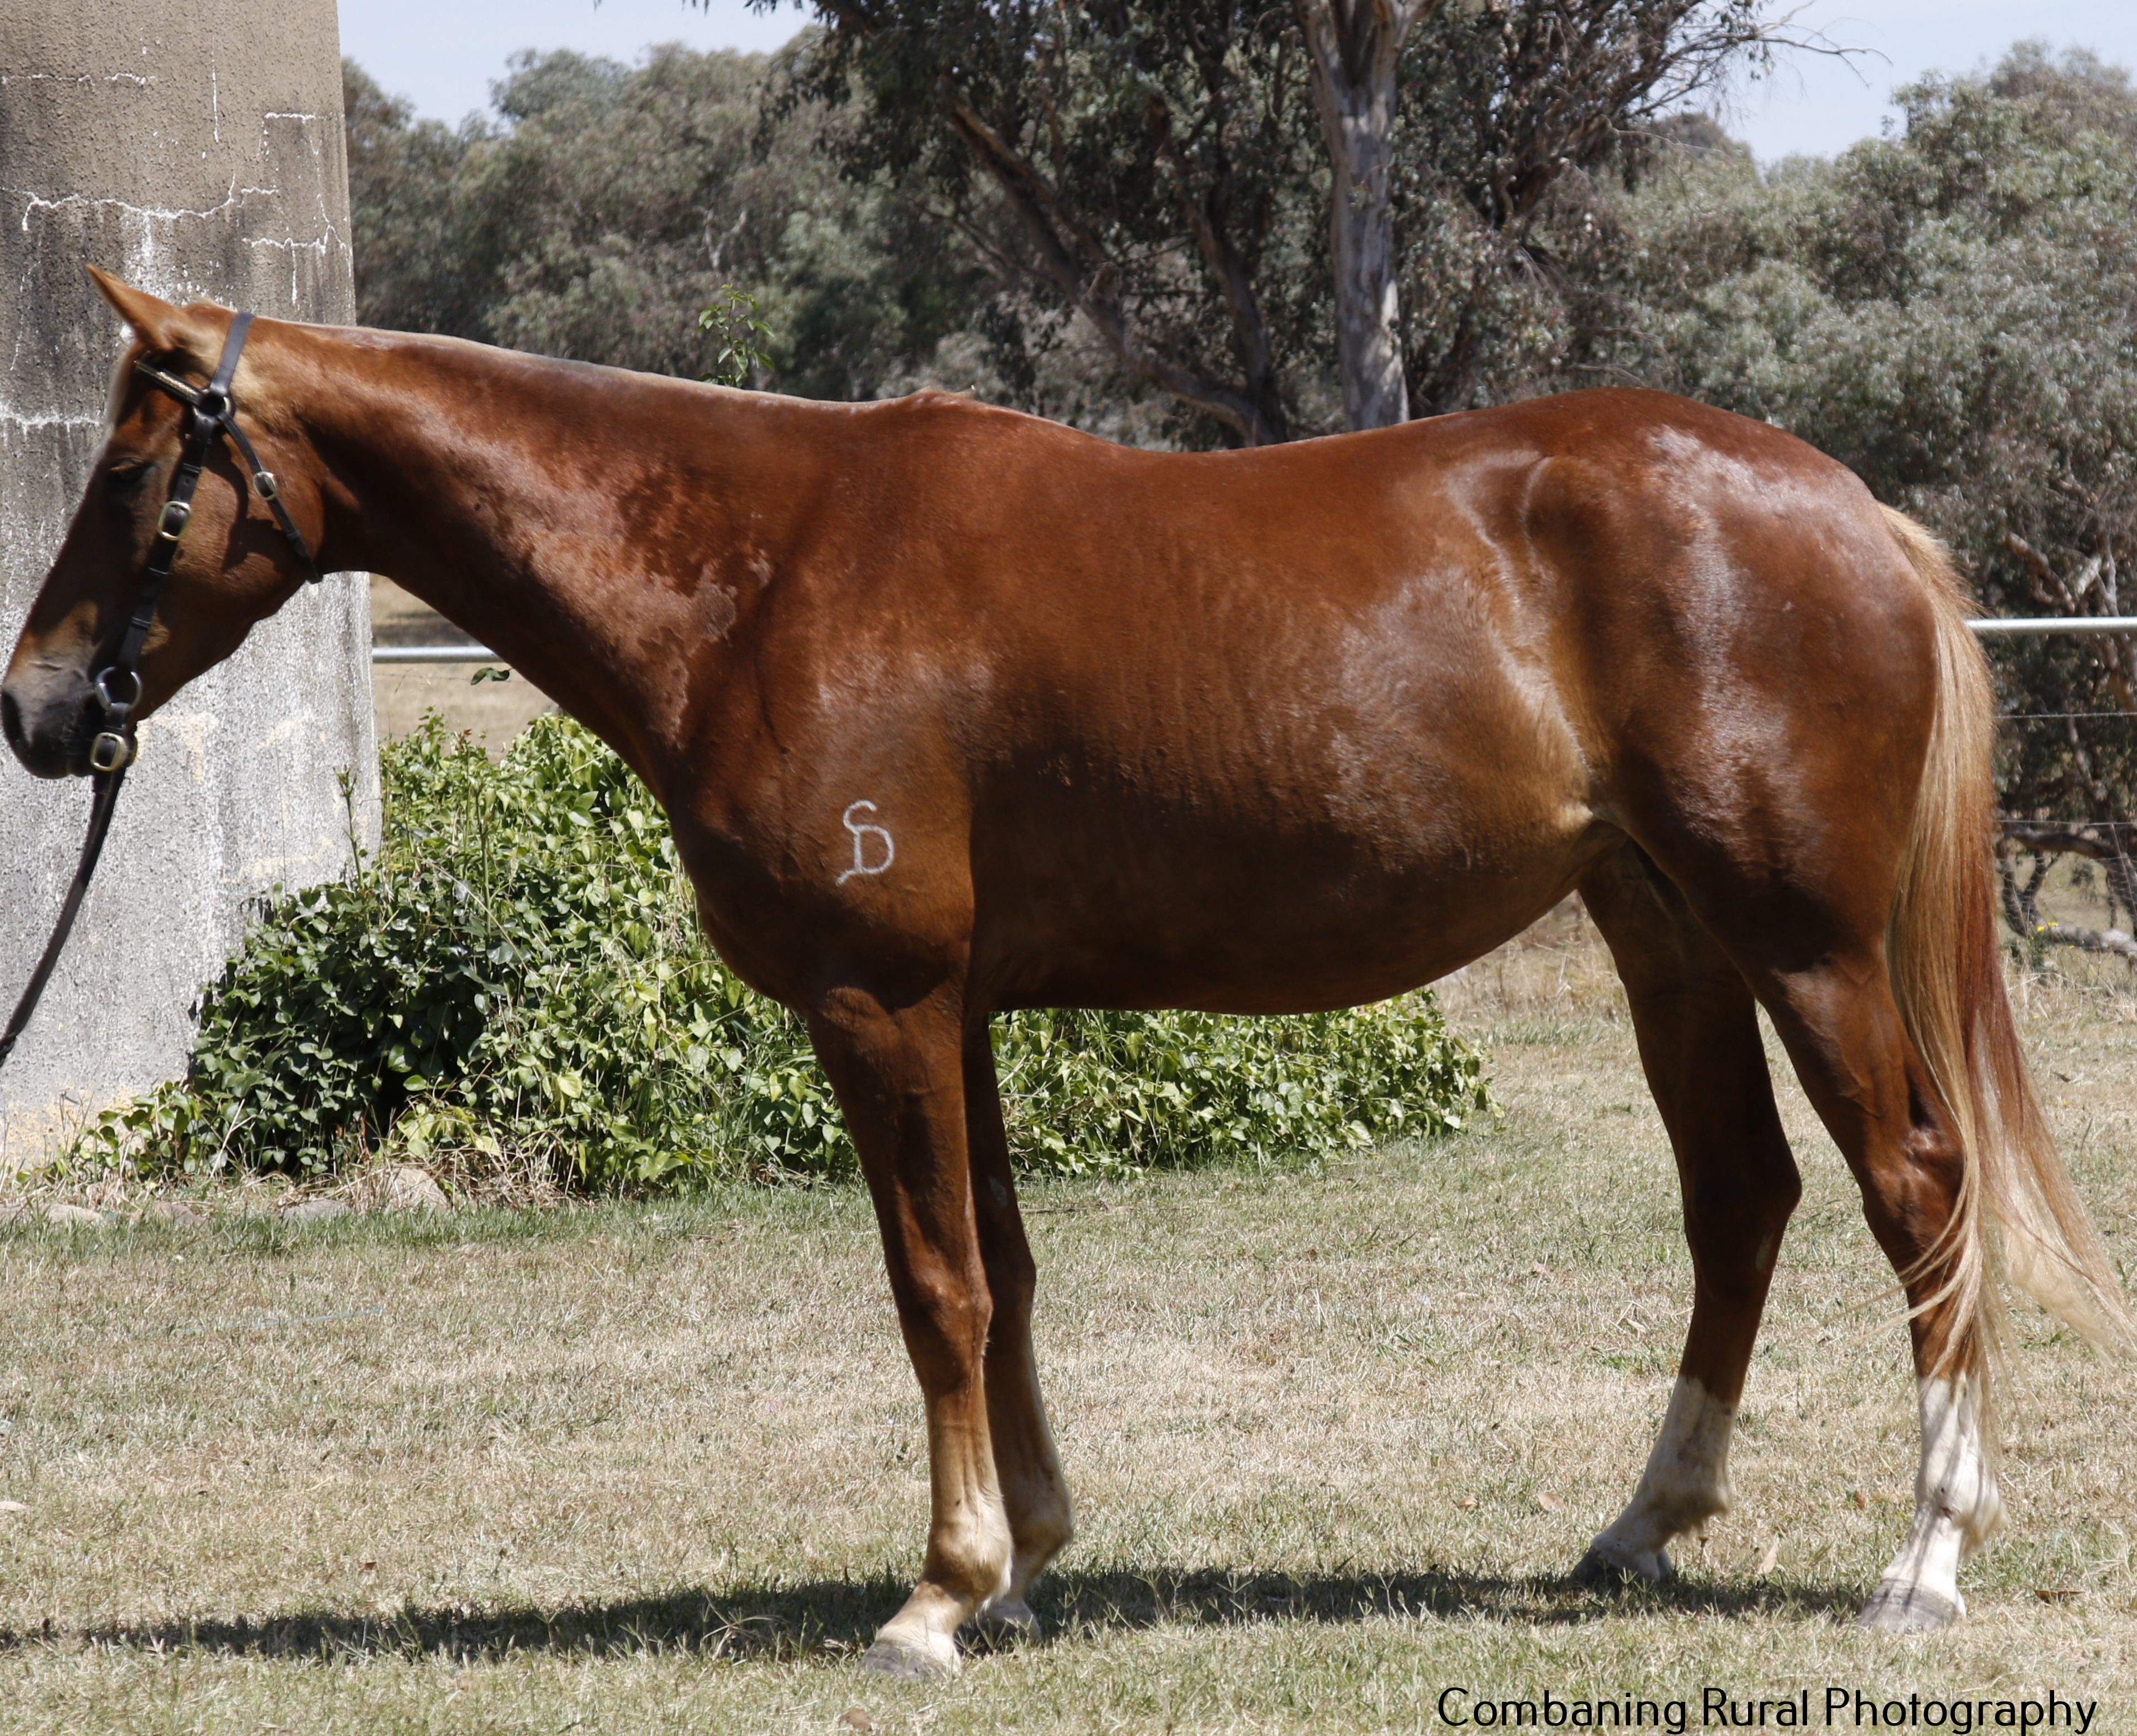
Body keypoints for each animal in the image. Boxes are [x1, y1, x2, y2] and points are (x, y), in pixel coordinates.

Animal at [6, 271, 2128, 1675]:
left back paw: (1925, 1557)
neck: (756, 570)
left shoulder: (878, 1003)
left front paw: (937, 1593)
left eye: (126, 476)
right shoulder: (960, 1010)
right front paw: (1028, 1553)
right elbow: (1005, 1272)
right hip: (1662, 927)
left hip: (1803, 941)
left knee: (1915, 1189)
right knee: (1739, 1199)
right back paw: (1640, 1525)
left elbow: (933, 1286)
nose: (36, 709)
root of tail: (1849, 507)